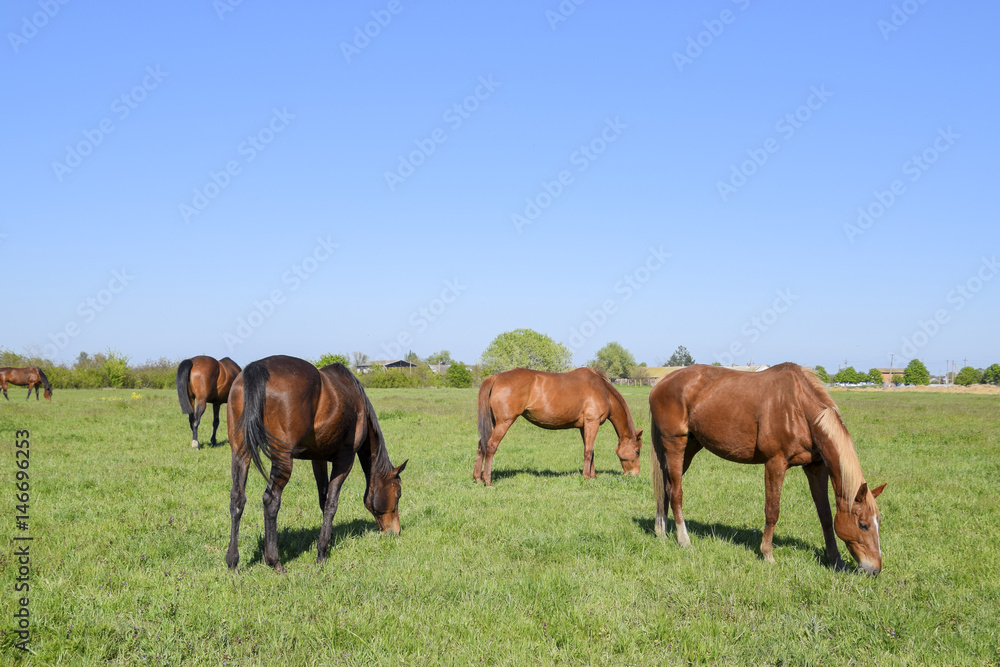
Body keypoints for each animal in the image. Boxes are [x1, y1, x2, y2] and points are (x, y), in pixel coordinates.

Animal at [225, 355, 407, 573]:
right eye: (398, 494)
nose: (394, 531)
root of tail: (257, 367)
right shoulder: (345, 460)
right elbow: (331, 503)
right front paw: (322, 552)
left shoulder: (318, 459)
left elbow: (322, 498)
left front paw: (329, 538)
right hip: (283, 459)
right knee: (271, 501)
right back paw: (274, 561)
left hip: (240, 452)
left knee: (237, 498)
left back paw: (233, 561)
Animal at [474, 367, 643, 486]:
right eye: (637, 451)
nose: (635, 474)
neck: (603, 391)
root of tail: (495, 377)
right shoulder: (592, 422)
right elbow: (588, 452)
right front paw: (587, 477)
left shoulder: (584, 427)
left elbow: (591, 451)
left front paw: (593, 476)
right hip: (504, 422)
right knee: (491, 446)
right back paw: (488, 481)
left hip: (494, 423)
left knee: (481, 445)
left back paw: (478, 478)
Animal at [649, 363, 886, 575]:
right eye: (863, 524)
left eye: (878, 523)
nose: (874, 569)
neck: (799, 407)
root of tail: (660, 383)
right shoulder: (775, 463)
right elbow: (772, 511)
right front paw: (767, 554)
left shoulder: (816, 468)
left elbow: (825, 515)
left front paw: (836, 561)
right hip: (675, 444)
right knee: (676, 492)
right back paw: (684, 540)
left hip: (690, 446)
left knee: (667, 487)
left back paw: (662, 531)